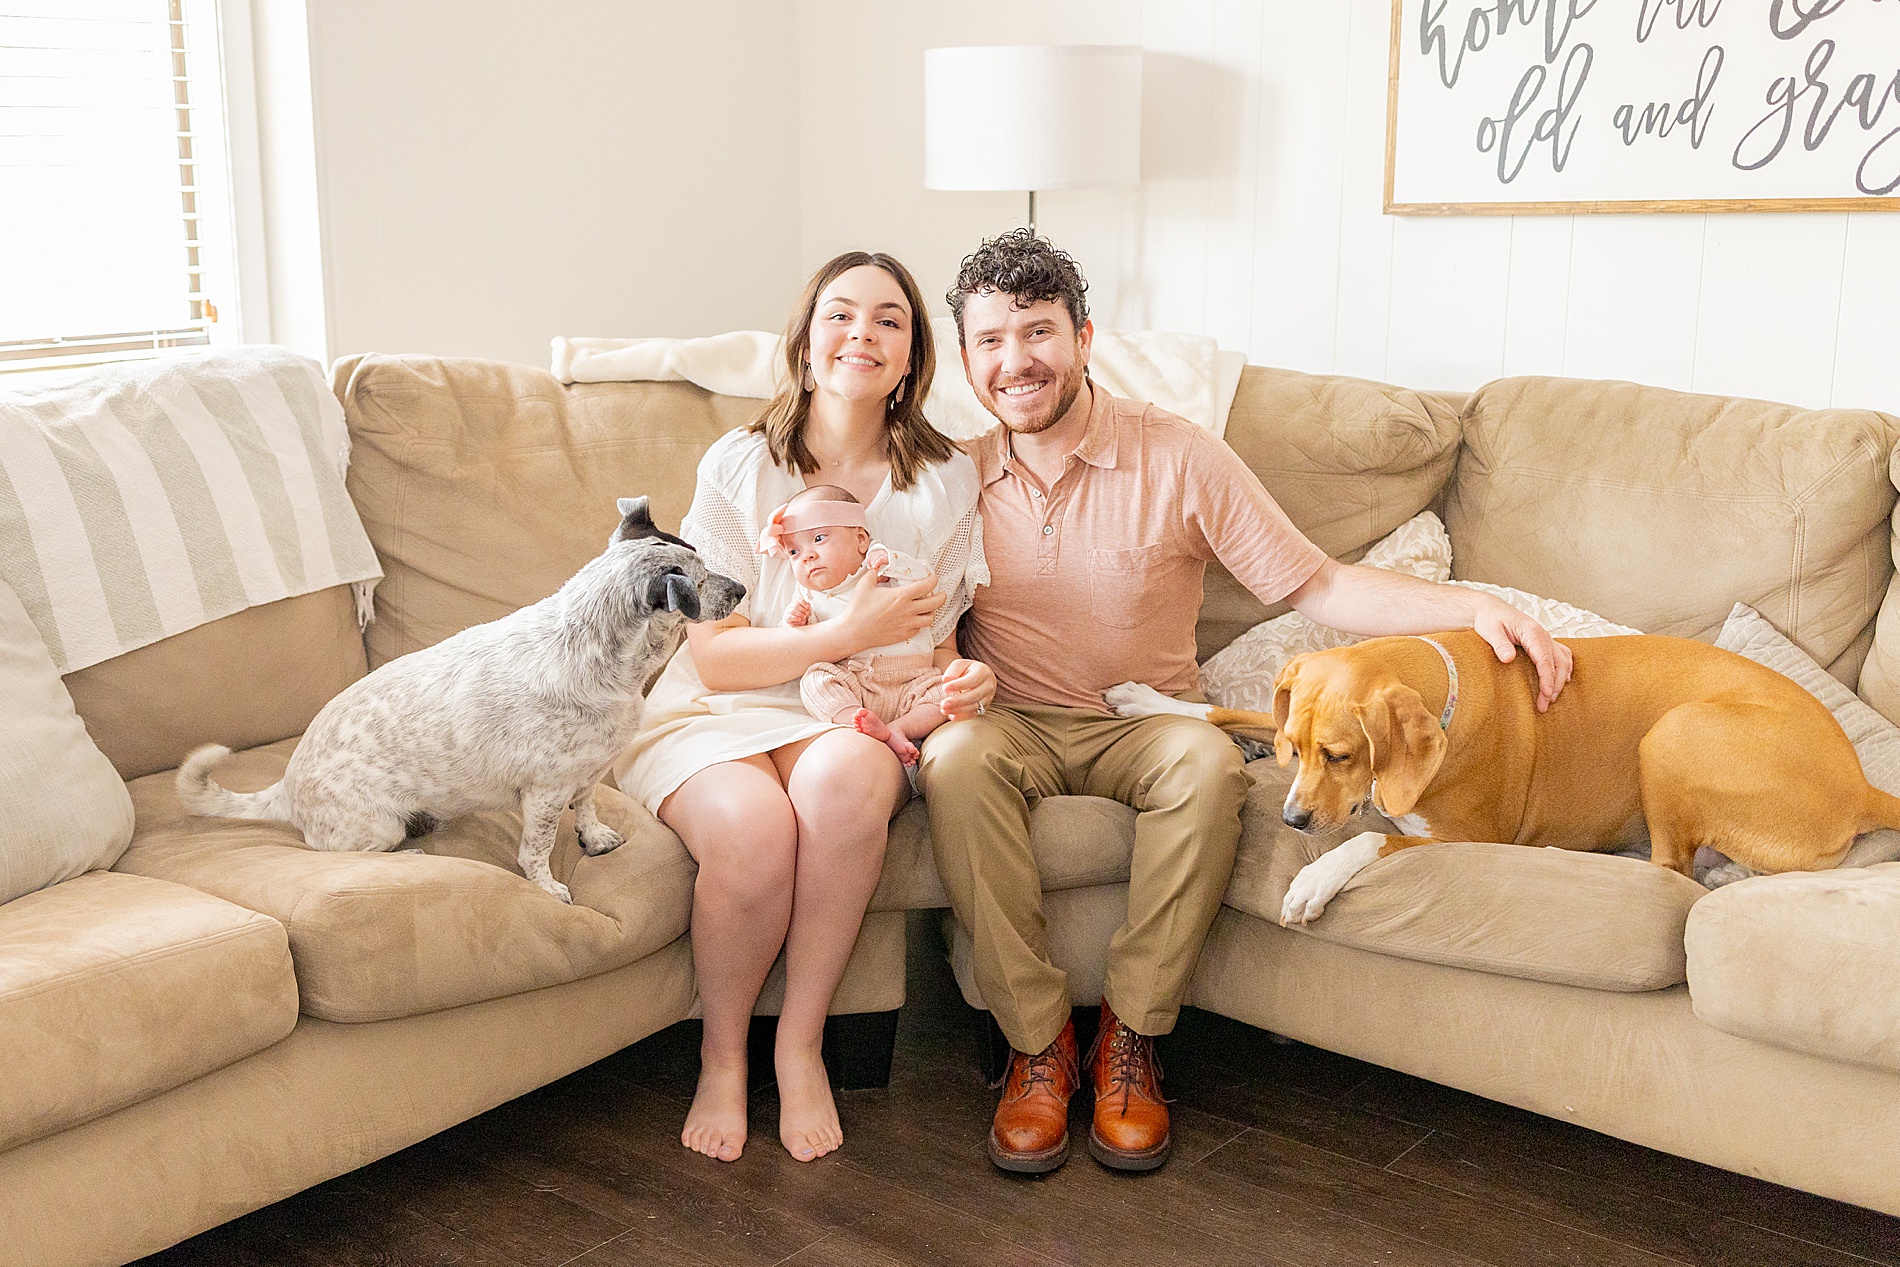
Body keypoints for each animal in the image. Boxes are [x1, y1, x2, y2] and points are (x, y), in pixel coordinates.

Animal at [178, 493, 741, 900]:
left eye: (706, 563)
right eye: (698, 583)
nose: (740, 589)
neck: (599, 655)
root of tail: (285, 790)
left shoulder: (587, 774)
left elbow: (587, 808)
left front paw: (595, 837)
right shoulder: (545, 793)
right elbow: (535, 852)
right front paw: (548, 888)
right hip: (380, 826)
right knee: (345, 853)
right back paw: (405, 857)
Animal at [1102, 630, 1900, 923]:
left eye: (1340, 755)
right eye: (1295, 750)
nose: (1292, 820)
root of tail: (1862, 784)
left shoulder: (1464, 838)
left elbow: (1370, 839)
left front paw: (1312, 877)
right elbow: (1230, 710)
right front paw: (1148, 699)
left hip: (1672, 734)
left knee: (1670, 866)